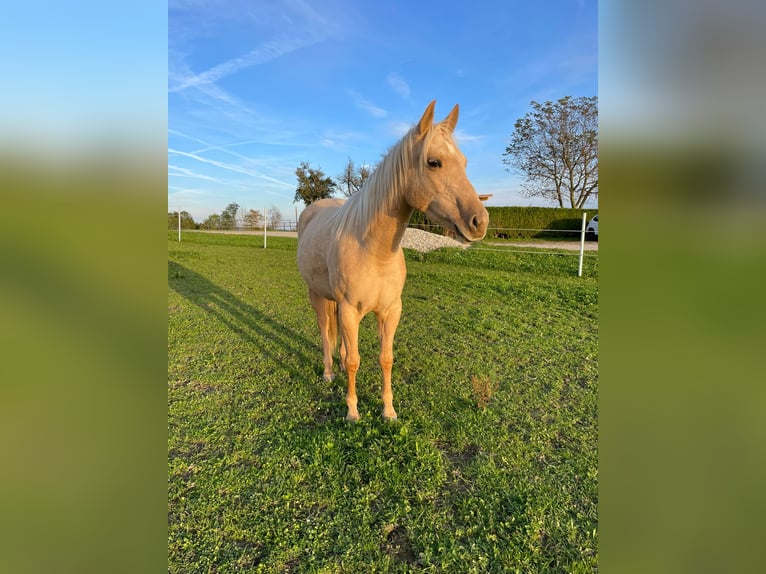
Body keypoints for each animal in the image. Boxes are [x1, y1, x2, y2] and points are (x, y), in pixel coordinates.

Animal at [296, 100, 488, 424]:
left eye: (464, 162)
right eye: (434, 162)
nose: (480, 222)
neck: (373, 252)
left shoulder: (390, 311)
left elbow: (385, 359)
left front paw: (388, 410)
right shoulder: (349, 310)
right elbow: (354, 360)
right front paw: (352, 411)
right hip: (317, 296)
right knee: (324, 331)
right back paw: (328, 372)